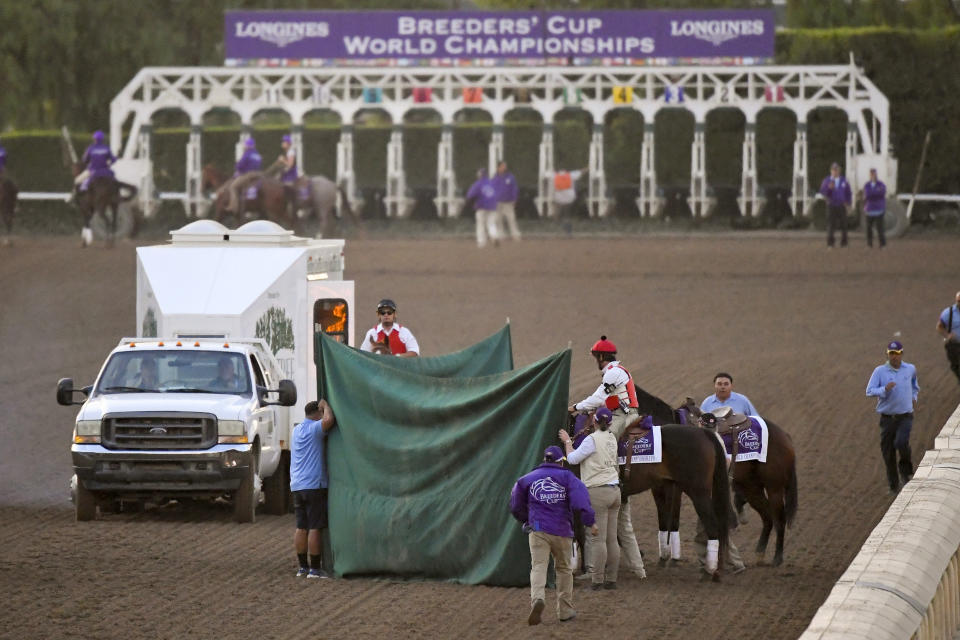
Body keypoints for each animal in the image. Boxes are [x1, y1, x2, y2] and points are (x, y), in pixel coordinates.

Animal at [684, 400, 804, 564]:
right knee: (767, 516)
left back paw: (777, 558)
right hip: (752, 488)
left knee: (779, 519)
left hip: (774, 487)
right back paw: (760, 553)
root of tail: (785, 436)